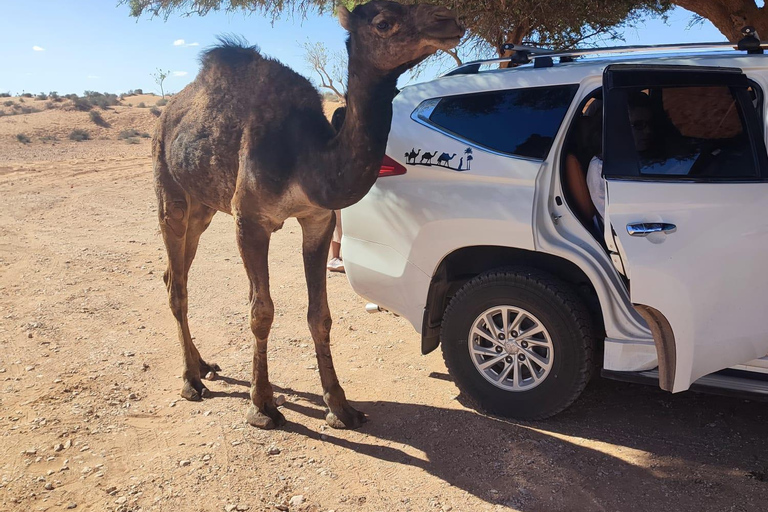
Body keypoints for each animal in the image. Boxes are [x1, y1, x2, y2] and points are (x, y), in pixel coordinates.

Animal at [151, 2, 462, 430]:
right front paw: (262, 406)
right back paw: (190, 381)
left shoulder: (319, 219)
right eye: (383, 22)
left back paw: (202, 365)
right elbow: (261, 311)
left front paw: (340, 406)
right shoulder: (249, 220)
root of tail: (167, 116)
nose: (450, 22)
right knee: (177, 283)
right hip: (170, 191)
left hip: (203, 208)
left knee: (175, 273)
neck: (307, 158)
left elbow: (321, 315)